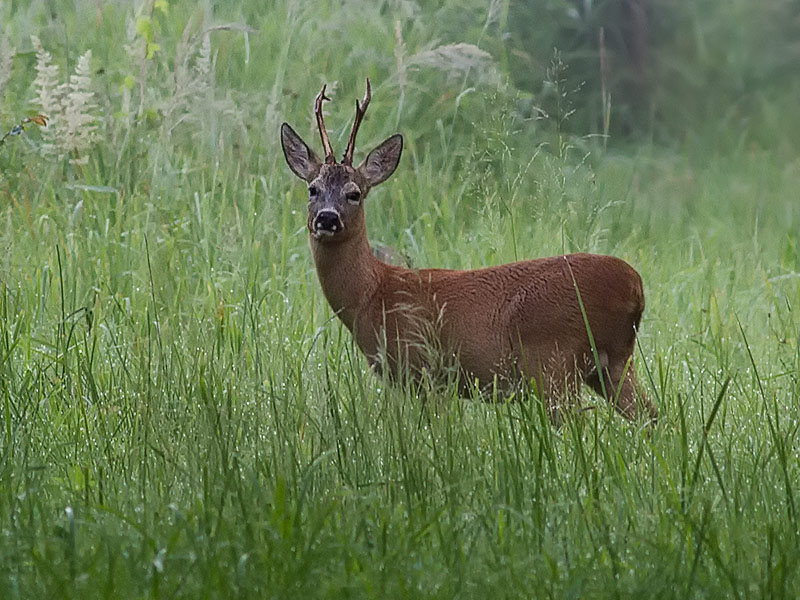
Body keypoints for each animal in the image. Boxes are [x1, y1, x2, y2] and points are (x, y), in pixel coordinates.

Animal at [280, 79, 656, 422]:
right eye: (312, 189)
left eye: (354, 193)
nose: (327, 218)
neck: (374, 293)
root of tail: (635, 287)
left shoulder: (424, 368)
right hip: (611, 364)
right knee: (652, 418)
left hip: (554, 361)